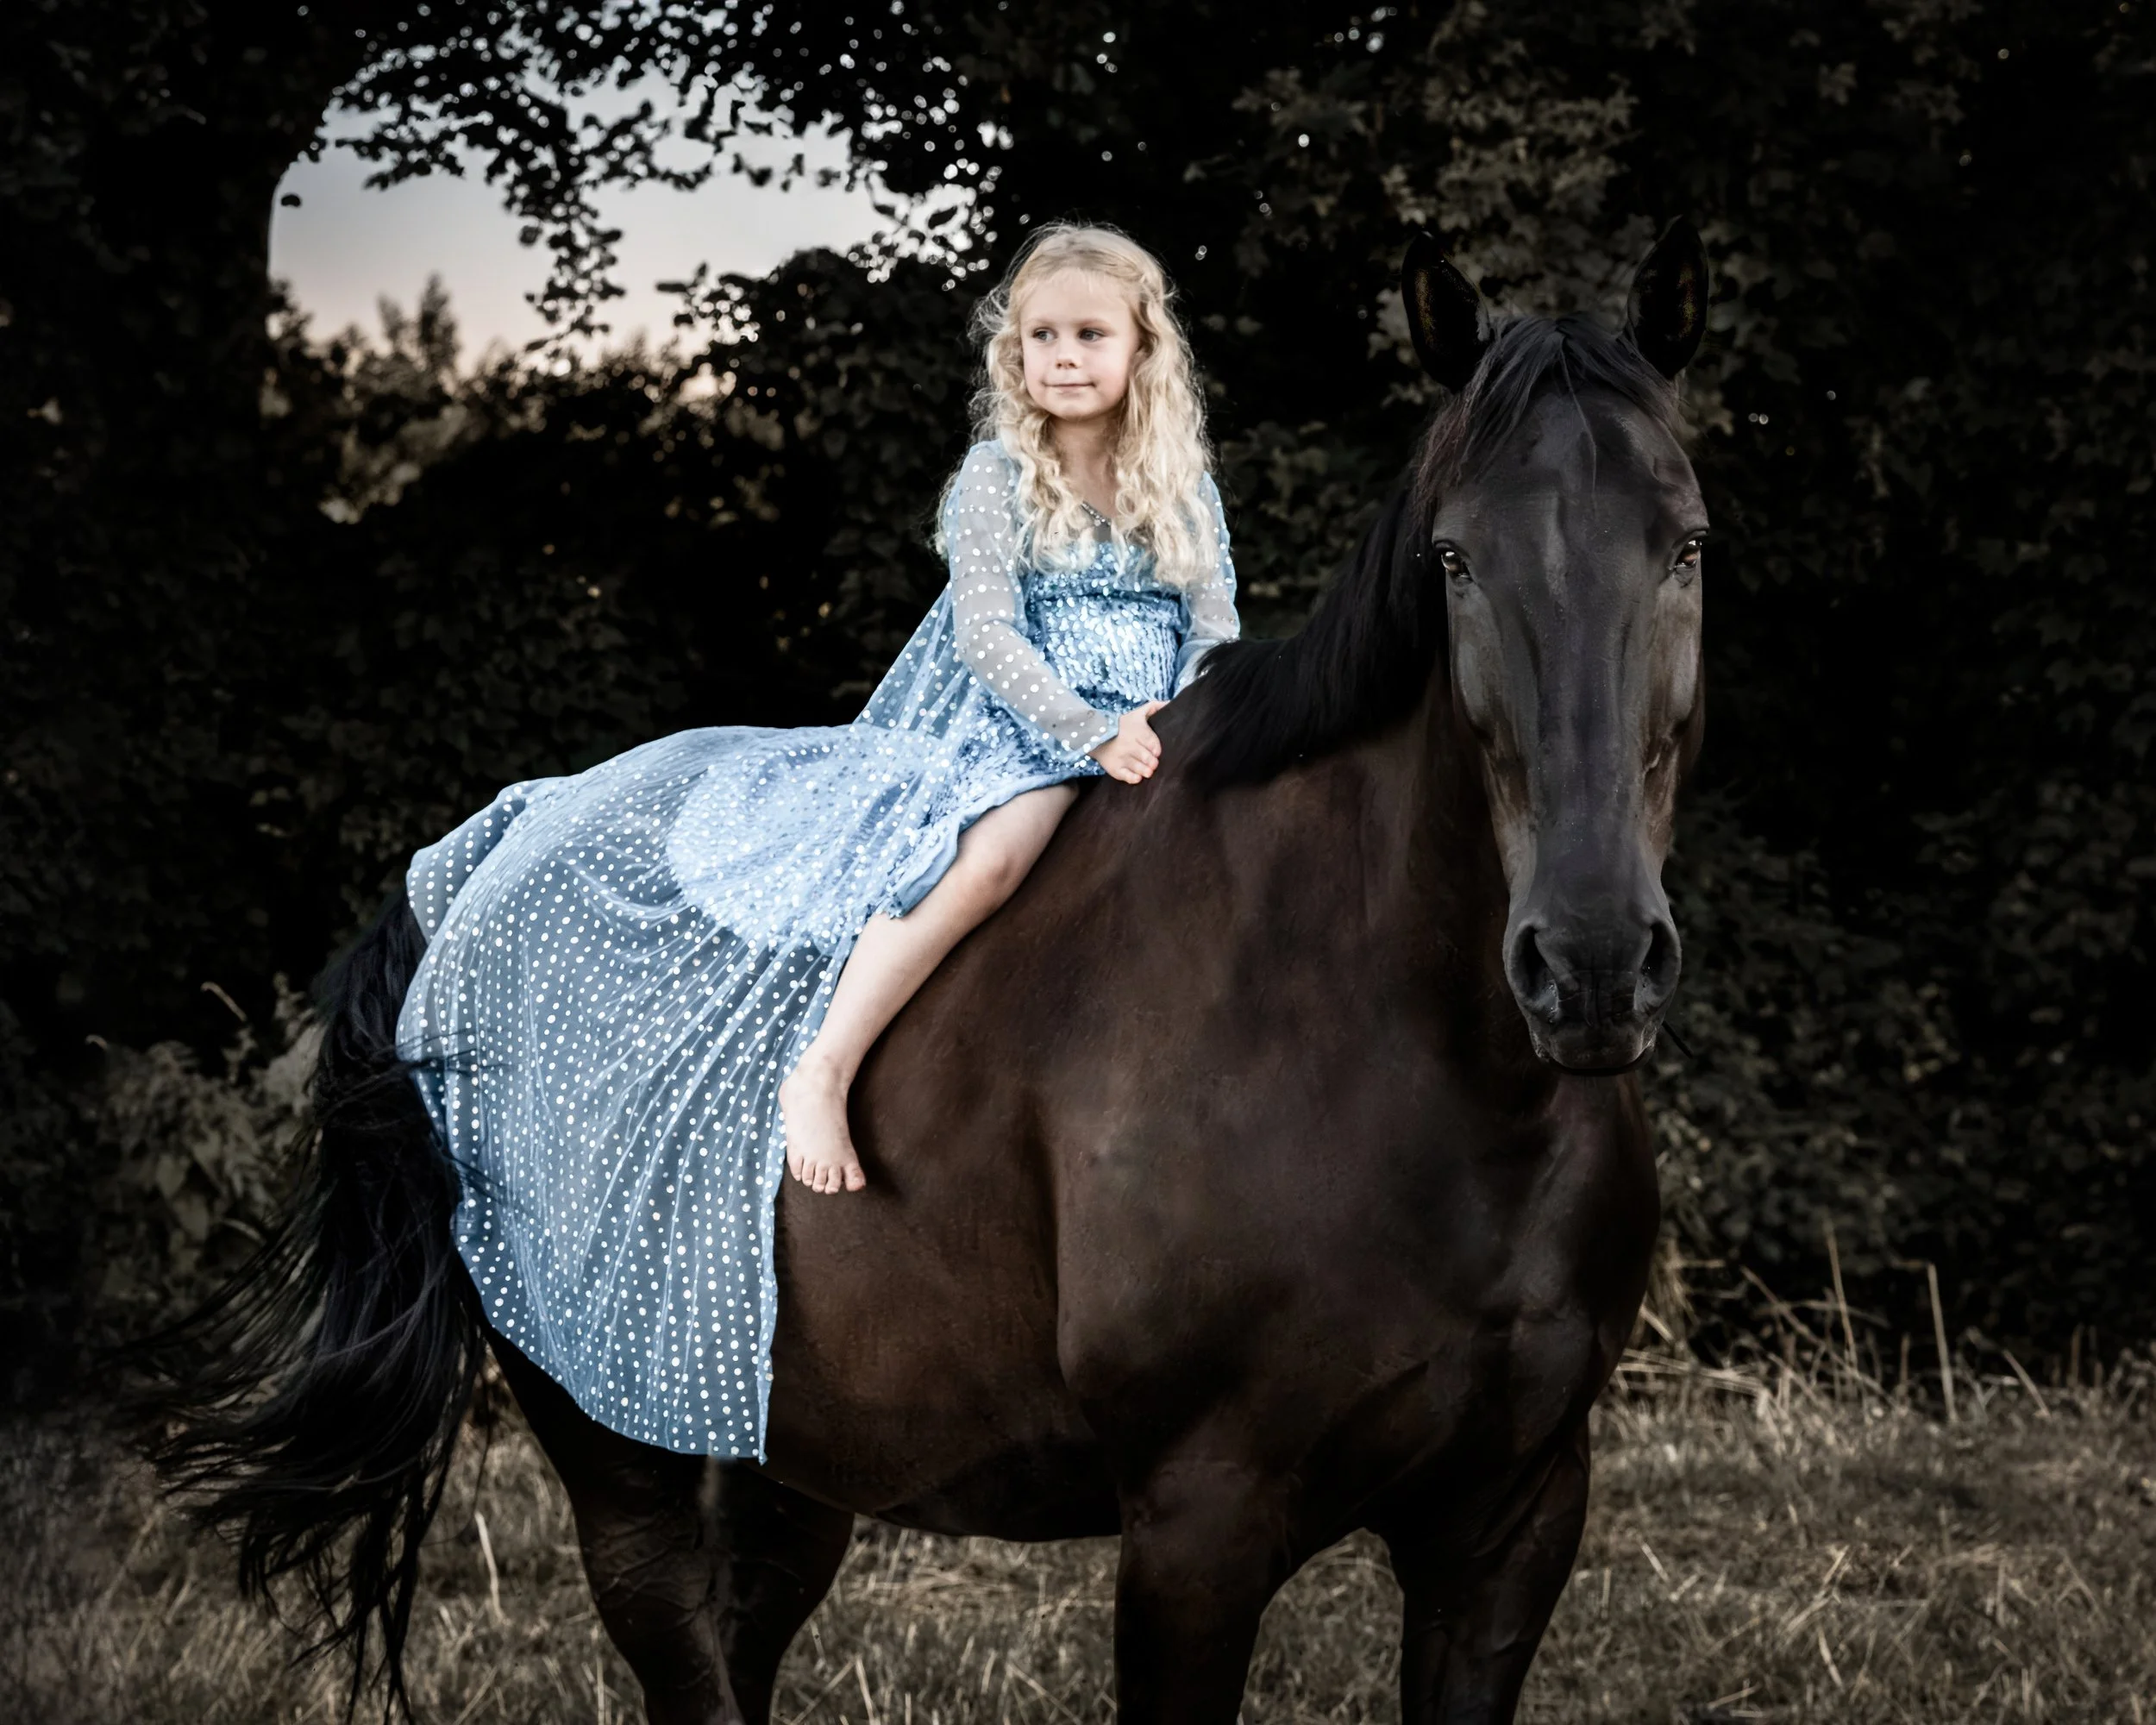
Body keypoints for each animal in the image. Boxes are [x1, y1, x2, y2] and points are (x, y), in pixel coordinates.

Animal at [154, 220, 1711, 1724]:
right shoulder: (1198, 1532)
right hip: (617, 1452)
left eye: (1687, 546)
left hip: (787, 1448)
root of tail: (487, 846)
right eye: (1454, 561)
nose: (1589, 965)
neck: (1396, 1049)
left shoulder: (1511, 1521)